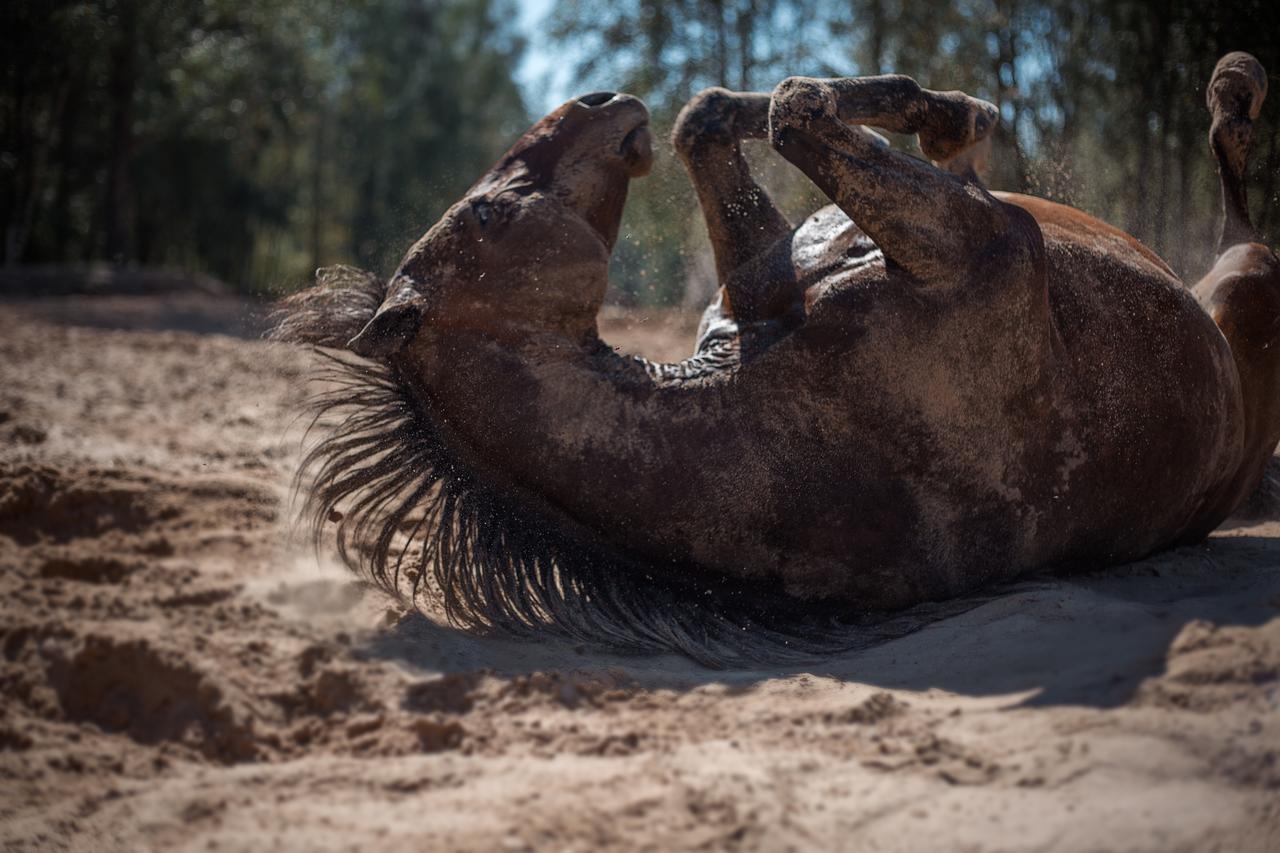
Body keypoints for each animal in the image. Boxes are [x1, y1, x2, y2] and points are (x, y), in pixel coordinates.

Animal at [272, 51, 1280, 666]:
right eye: (485, 212)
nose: (598, 102)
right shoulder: (987, 243)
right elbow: (797, 111)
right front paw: (934, 102)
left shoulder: (760, 275)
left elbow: (714, 119)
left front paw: (930, 108)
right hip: (1245, 287)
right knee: (1242, 210)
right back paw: (1232, 91)